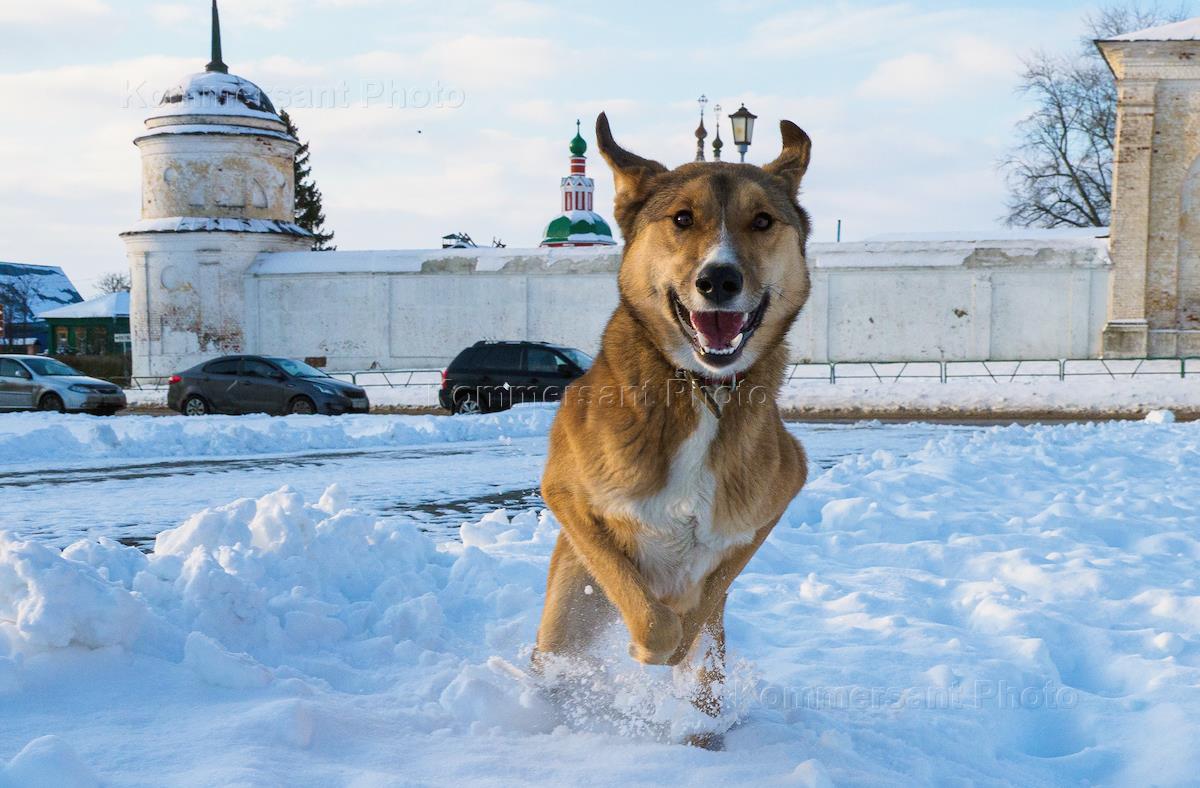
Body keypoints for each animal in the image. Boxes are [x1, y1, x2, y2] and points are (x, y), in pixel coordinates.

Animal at [537, 112, 811, 743]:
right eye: (682, 218)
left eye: (763, 221)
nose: (719, 280)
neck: (701, 390)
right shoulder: (566, 492)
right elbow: (650, 617)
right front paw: (649, 646)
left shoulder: (779, 493)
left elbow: (705, 602)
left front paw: (682, 635)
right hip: (569, 613)